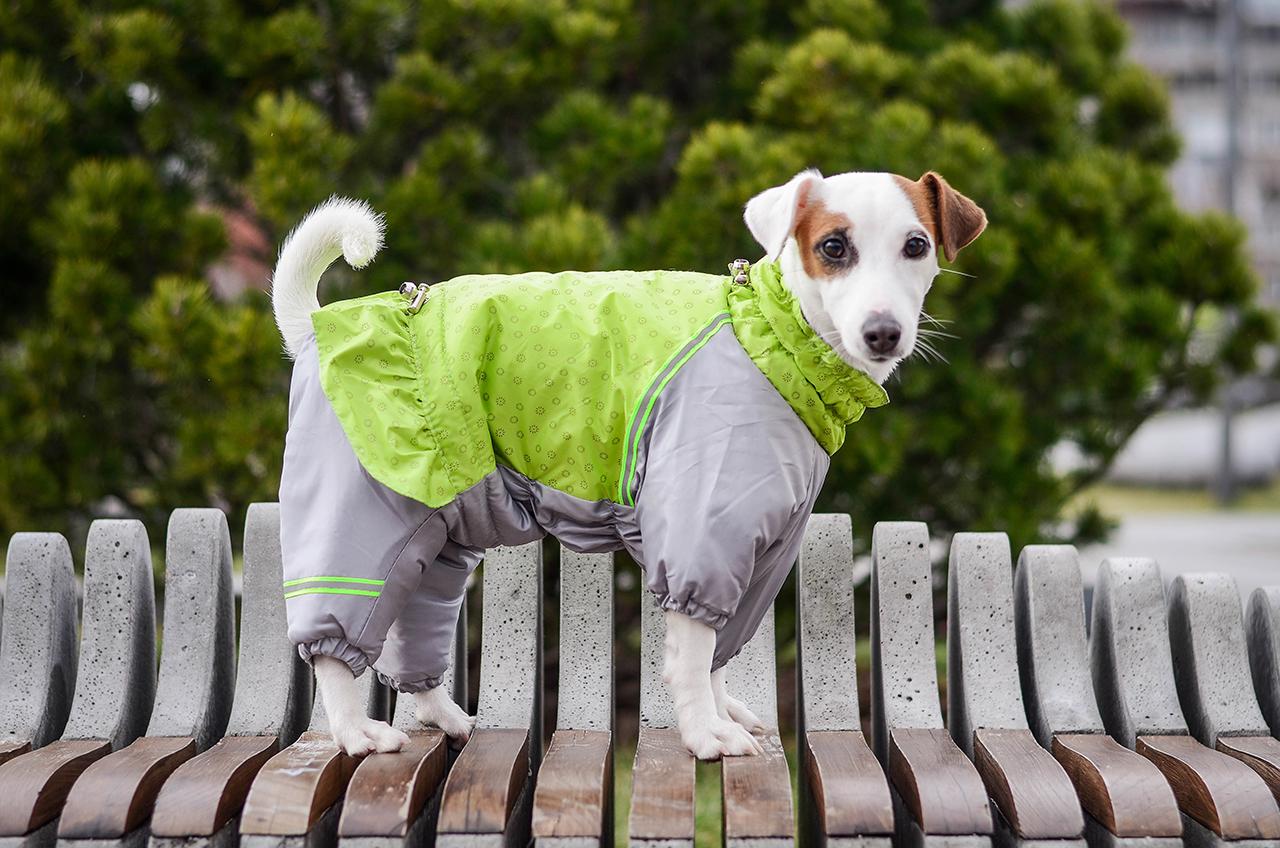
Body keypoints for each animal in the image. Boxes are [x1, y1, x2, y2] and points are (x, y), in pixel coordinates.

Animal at [275, 169, 983, 758]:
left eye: (917, 246)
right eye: (833, 247)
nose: (883, 332)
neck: (768, 332)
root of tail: (314, 327)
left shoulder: (759, 553)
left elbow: (719, 653)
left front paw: (721, 714)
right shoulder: (702, 538)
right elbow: (693, 656)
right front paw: (705, 735)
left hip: (438, 530)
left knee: (414, 626)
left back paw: (445, 717)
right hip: (365, 518)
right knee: (334, 649)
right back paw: (355, 732)